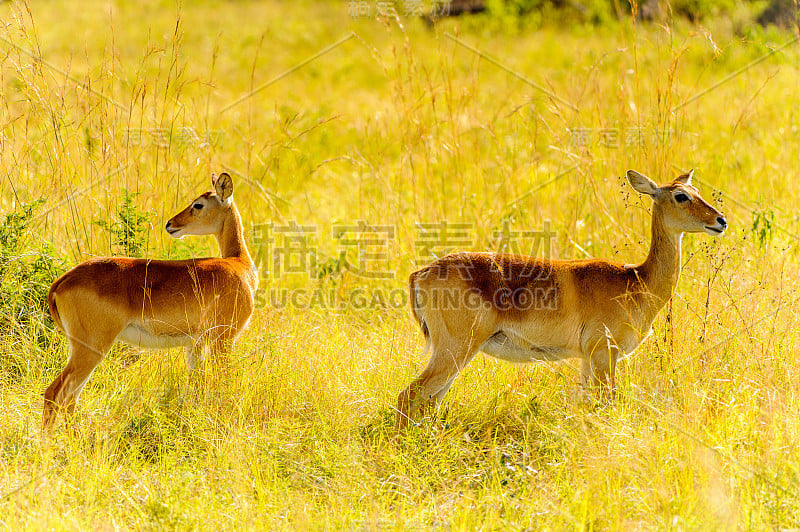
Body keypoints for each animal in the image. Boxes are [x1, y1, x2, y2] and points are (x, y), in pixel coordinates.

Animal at [43, 172, 258, 430]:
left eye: (198, 204)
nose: (170, 224)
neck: (239, 265)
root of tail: (62, 281)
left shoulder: (195, 345)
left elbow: (196, 386)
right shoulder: (224, 339)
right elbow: (221, 383)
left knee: (70, 399)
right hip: (91, 349)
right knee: (55, 394)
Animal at [396, 168, 728, 426]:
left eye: (696, 190)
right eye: (680, 196)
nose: (720, 220)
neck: (635, 280)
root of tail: (420, 273)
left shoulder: (587, 358)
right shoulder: (603, 353)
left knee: (428, 402)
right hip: (456, 348)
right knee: (409, 396)